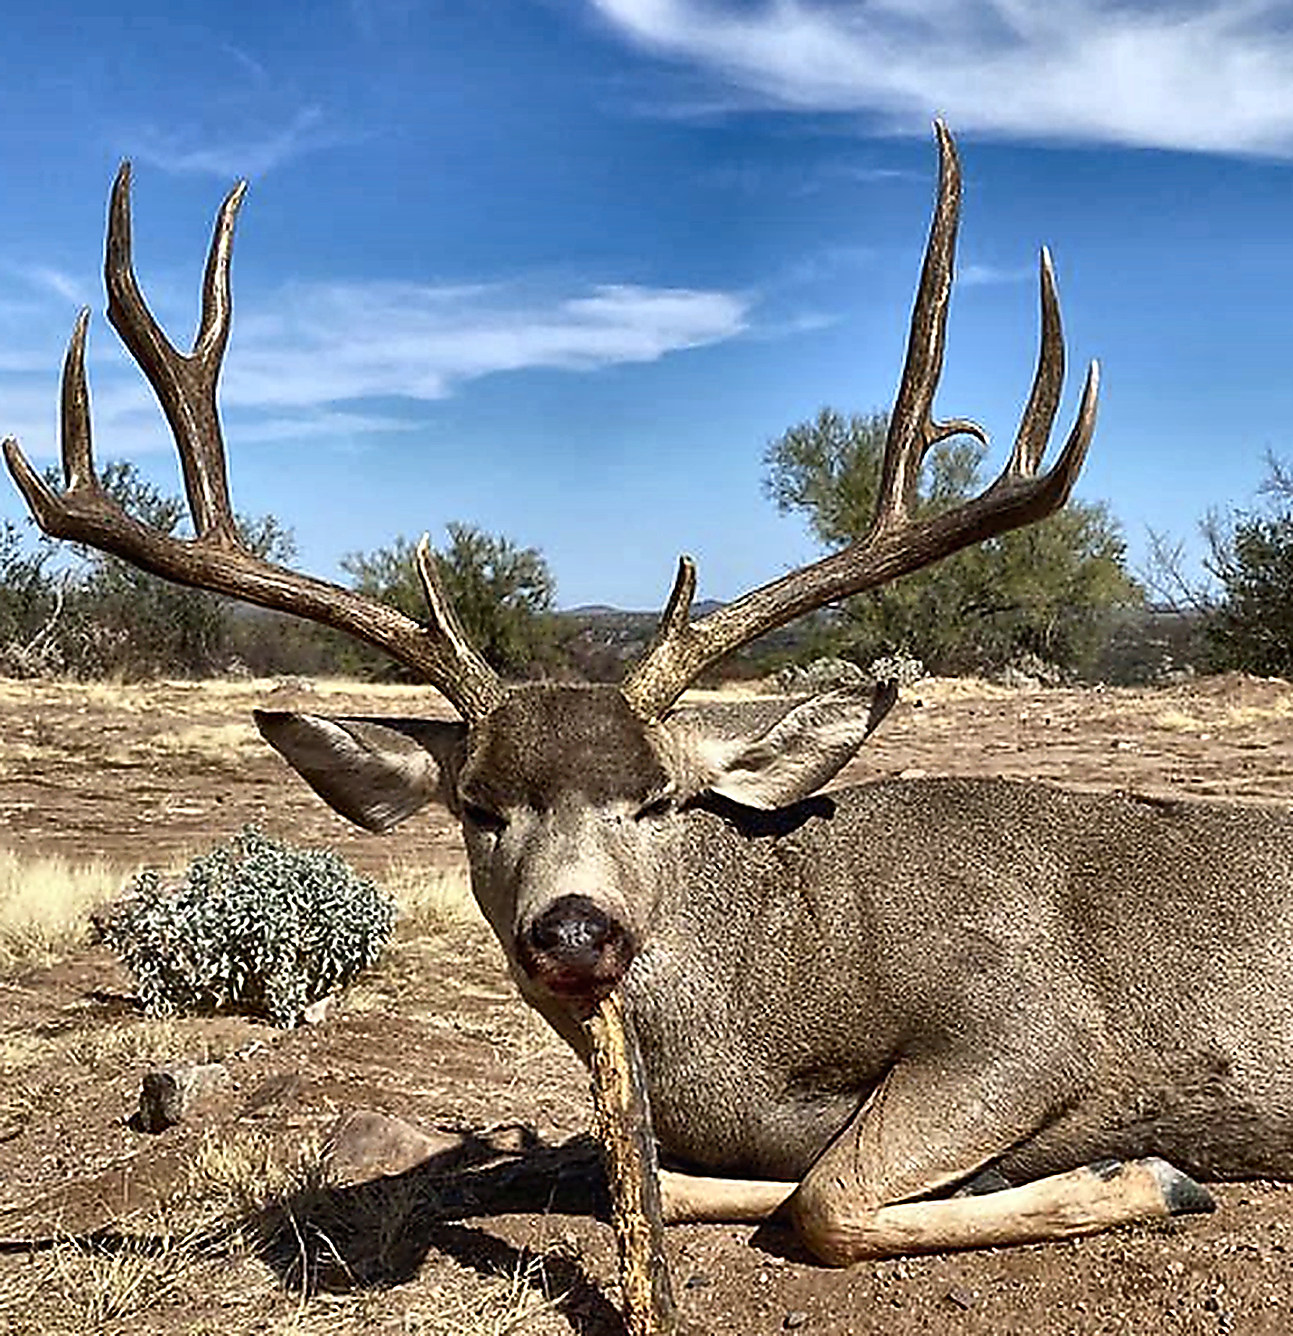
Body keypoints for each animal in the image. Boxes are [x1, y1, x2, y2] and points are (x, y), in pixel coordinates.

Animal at [8, 122, 1284, 1268]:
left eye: (660, 800)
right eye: (479, 806)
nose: (575, 926)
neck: (768, 979)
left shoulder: (1030, 1022)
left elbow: (824, 1196)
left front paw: (1151, 1174)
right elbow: (658, 1175)